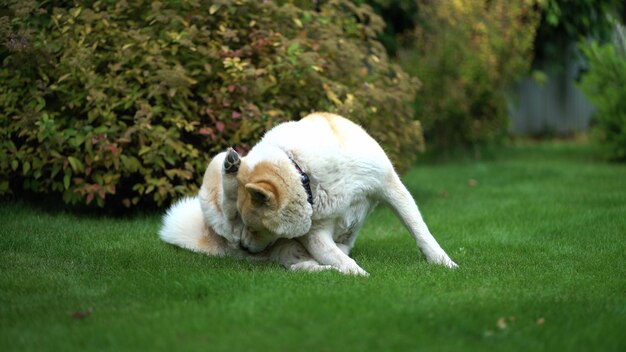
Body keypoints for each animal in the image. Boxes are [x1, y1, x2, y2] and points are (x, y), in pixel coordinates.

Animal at [232, 112, 456, 276]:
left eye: (254, 228)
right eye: (247, 226)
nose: (242, 246)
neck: (304, 172)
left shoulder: (390, 187)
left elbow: (420, 230)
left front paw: (444, 262)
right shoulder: (316, 234)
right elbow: (340, 259)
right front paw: (359, 274)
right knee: (303, 265)